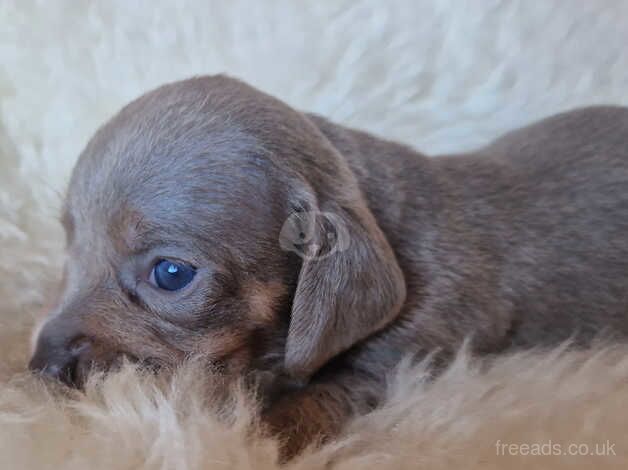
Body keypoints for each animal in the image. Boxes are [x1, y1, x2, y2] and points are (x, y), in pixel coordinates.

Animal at [29, 75, 628, 458]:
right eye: (71, 245)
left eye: (170, 274)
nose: (42, 367)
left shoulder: (403, 360)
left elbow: (315, 401)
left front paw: (254, 438)